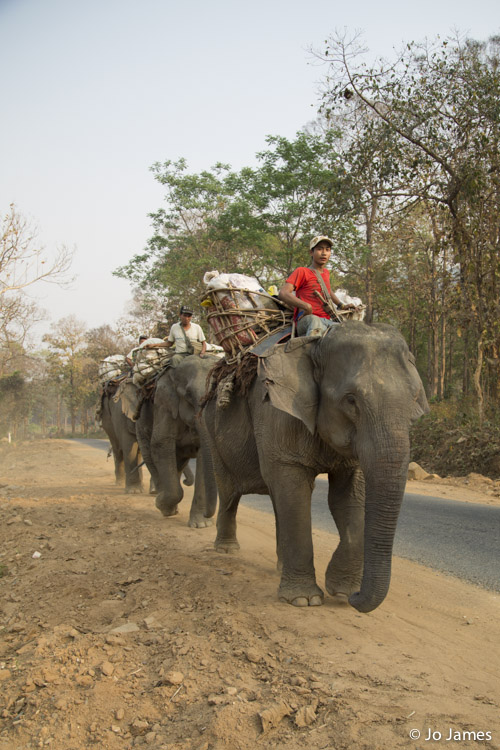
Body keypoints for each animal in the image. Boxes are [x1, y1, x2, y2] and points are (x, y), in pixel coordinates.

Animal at [134, 354, 219, 528]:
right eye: (188, 395)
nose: (208, 514)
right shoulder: (163, 403)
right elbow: (160, 443)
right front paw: (161, 504)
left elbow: (203, 454)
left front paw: (200, 524)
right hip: (140, 425)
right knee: (151, 456)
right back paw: (163, 502)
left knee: (178, 462)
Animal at [202, 321, 429, 612]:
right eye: (351, 400)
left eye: (414, 398)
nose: (357, 598)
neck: (316, 344)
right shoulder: (278, 415)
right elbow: (294, 490)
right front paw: (304, 600)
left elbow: (346, 497)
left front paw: (342, 592)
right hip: (211, 430)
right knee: (230, 491)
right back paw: (227, 549)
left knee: (275, 498)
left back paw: (280, 566)